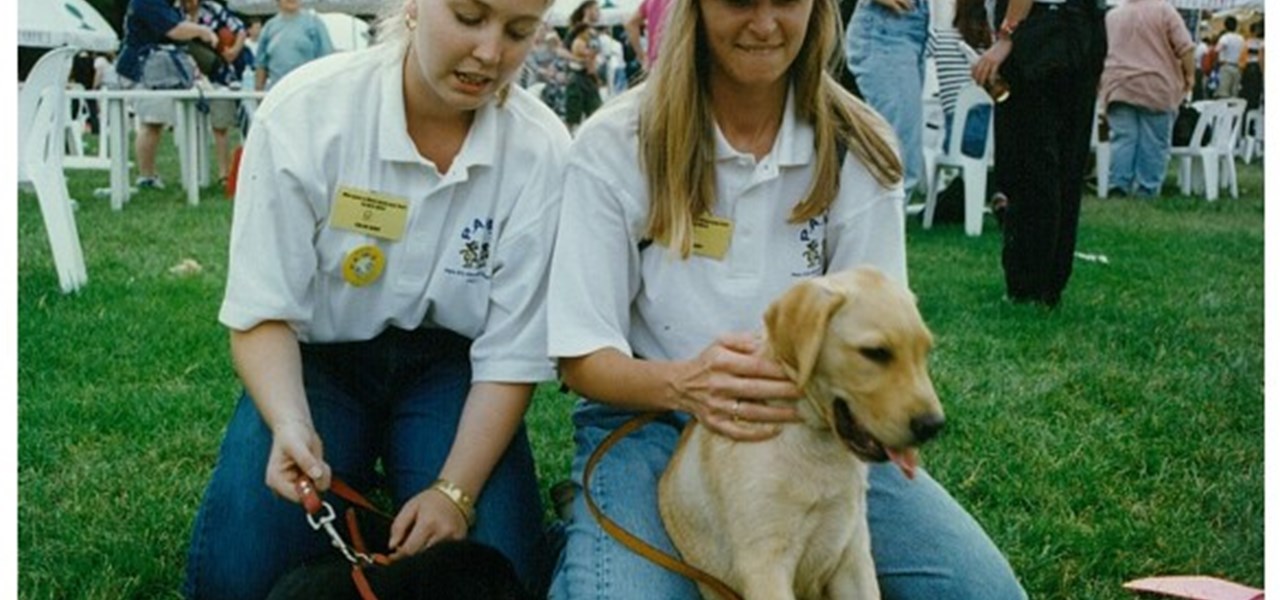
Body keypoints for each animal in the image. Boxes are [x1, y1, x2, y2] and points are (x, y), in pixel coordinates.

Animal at [660, 267, 942, 598]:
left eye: (925, 352)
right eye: (875, 353)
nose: (934, 425)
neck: (815, 440)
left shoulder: (853, 552)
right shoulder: (765, 562)